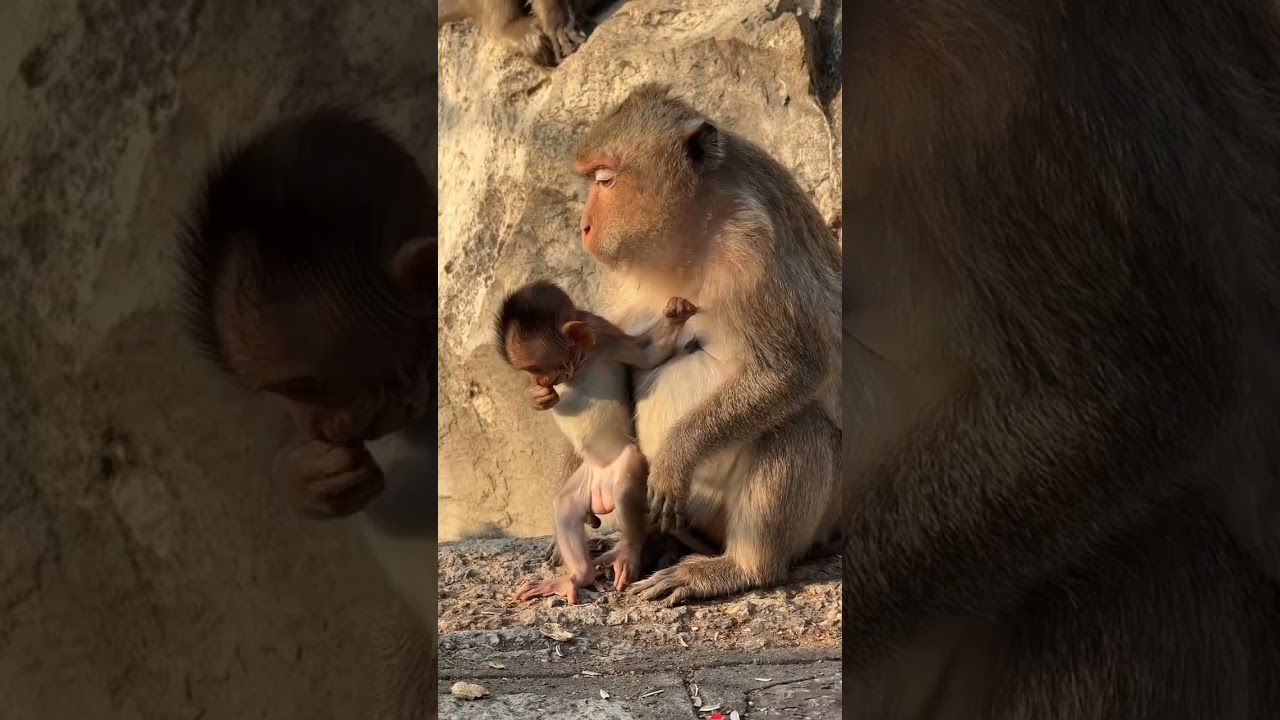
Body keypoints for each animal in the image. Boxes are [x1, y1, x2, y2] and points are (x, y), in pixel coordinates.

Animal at [492, 280, 716, 603]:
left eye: (537, 368)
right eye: (530, 372)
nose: (539, 382)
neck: (581, 358)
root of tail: (601, 489)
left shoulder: (604, 335)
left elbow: (647, 353)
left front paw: (676, 314)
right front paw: (536, 397)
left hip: (628, 463)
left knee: (625, 493)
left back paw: (628, 554)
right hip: (585, 480)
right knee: (564, 506)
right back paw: (576, 577)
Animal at [566, 84, 842, 608]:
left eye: (605, 180)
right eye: (591, 179)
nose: (584, 227)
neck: (694, 234)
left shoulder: (755, 247)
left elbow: (793, 369)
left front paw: (676, 457)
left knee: (799, 422)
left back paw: (741, 567)